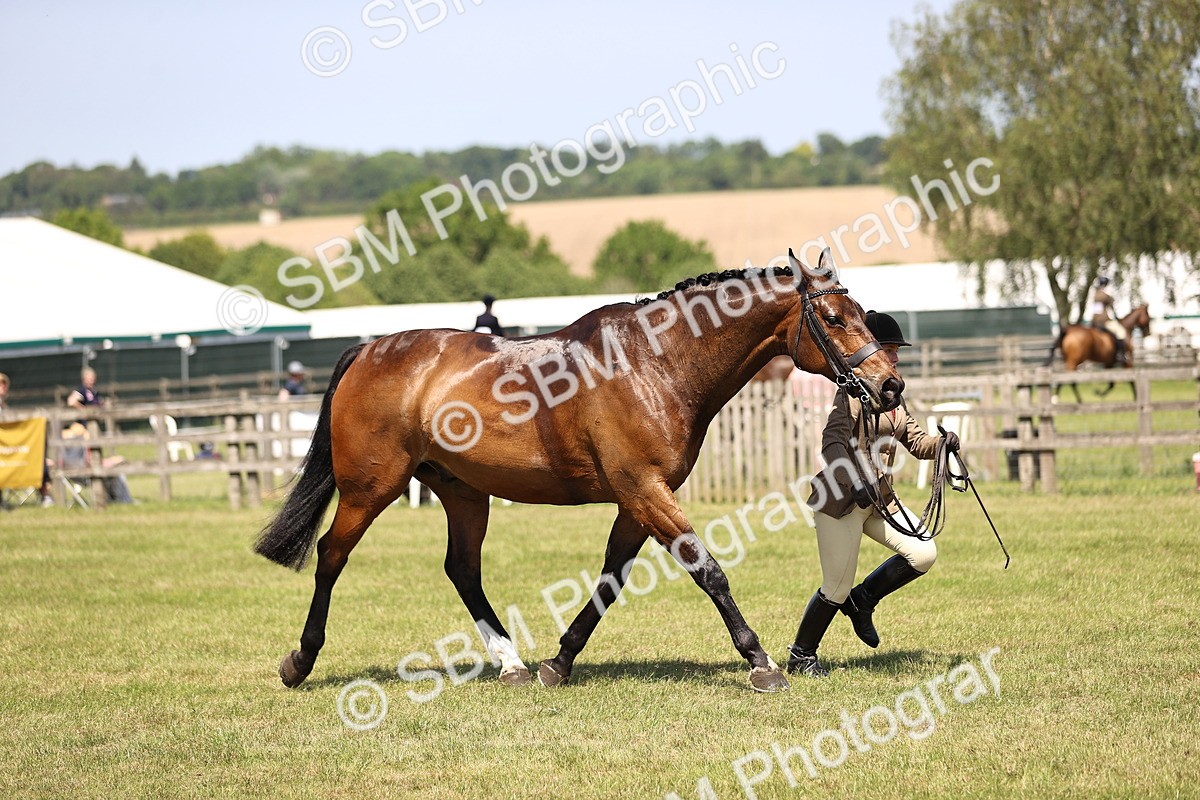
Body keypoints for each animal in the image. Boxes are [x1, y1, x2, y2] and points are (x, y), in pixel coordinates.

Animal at [254, 248, 904, 694]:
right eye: (834, 318)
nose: (890, 386)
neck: (656, 362)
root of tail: (369, 350)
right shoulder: (645, 491)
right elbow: (709, 570)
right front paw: (761, 663)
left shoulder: (639, 500)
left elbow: (611, 579)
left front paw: (559, 662)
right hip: (372, 488)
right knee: (332, 555)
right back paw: (300, 661)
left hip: (463, 492)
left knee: (462, 569)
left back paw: (512, 663)